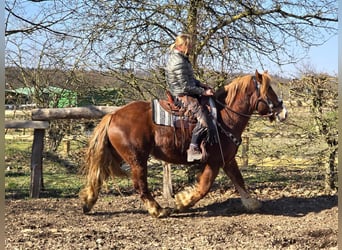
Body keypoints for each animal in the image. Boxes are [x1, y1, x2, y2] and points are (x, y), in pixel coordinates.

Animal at [79, 70, 288, 217]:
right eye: (269, 90)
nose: (283, 112)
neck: (224, 117)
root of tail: (113, 115)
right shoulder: (214, 162)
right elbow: (203, 188)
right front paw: (182, 201)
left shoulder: (227, 159)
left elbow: (239, 180)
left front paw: (251, 203)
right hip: (137, 159)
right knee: (140, 186)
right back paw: (158, 210)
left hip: (116, 155)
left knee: (99, 175)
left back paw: (88, 202)